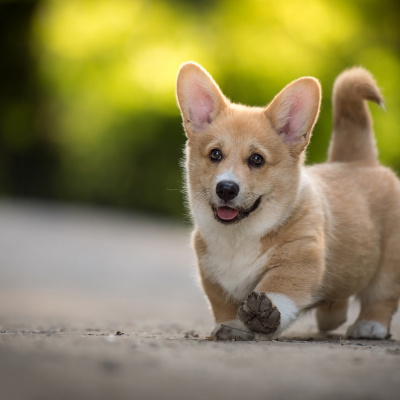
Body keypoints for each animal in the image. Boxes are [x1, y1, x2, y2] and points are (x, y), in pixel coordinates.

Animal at [175, 62, 400, 340]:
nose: (226, 189)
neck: (240, 235)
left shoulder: (299, 259)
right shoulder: (211, 273)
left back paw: (369, 325)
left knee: (381, 296)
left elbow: (279, 287)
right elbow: (222, 304)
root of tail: (359, 161)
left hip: (389, 264)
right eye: (215, 154)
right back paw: (330, 317)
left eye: (257, 159)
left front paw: (262, 313)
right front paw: (230, 326)